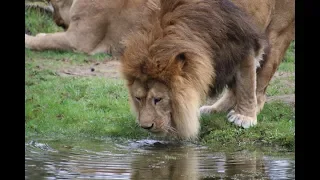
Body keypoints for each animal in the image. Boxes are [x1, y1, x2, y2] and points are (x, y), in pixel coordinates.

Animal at [120, 0, 296, 139]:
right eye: (138, 98)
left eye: (158, 99)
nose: (146, 126)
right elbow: (240, 83)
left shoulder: (243, 42)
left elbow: (247, 84)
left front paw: (245, 117)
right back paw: (215, 109)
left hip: (278, 31)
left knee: (260, 82)